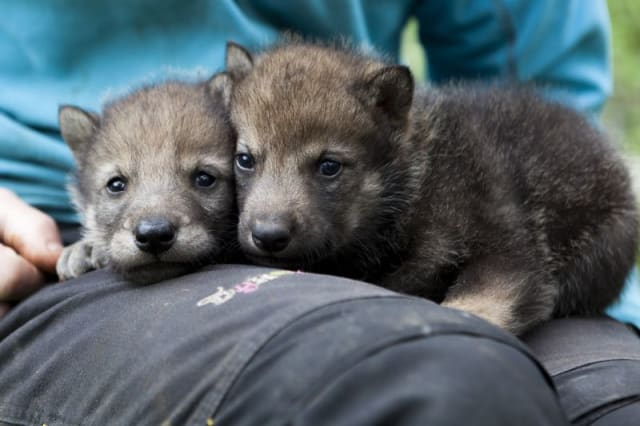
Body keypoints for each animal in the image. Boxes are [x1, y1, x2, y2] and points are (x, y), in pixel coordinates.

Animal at [218, 41, 638, 335]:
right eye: (245, 159)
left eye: (329, 166)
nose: (268, 235)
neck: (417, 188)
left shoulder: (509, 251)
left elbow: (471, 308)